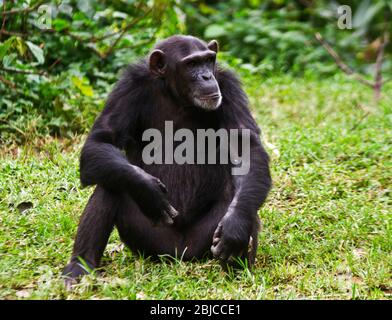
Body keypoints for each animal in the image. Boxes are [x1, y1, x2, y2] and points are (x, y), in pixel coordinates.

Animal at [62, 35, 272, 282]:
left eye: (208, 61)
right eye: (191, 64)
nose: (206, 76)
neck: (177, 96)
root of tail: (180, 254)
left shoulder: (228, 86)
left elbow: (246, 148)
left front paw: (235, 226)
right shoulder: (128, 87)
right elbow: (100, 141)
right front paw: (147, 188)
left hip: (202, 241)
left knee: (240, 194)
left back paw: (237, 268)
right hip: (150, 242)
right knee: (110, 183)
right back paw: (79, 266)